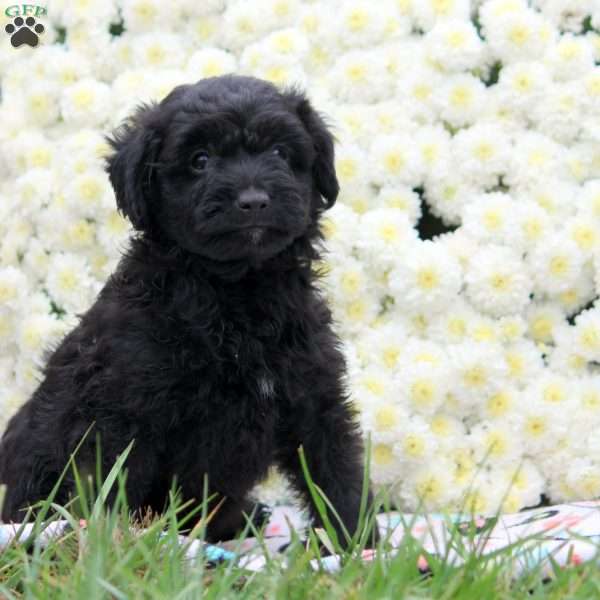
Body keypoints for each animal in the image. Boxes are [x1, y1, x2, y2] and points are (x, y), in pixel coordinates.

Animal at [0, 75, 376, 544]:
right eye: (200, 160)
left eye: (279, 152)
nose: (254, 200)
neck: (238, 294)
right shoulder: (122, 408)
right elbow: (109, 481)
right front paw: (108, 547)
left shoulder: (314, 392)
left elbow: (336, 469)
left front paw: (356, 542)